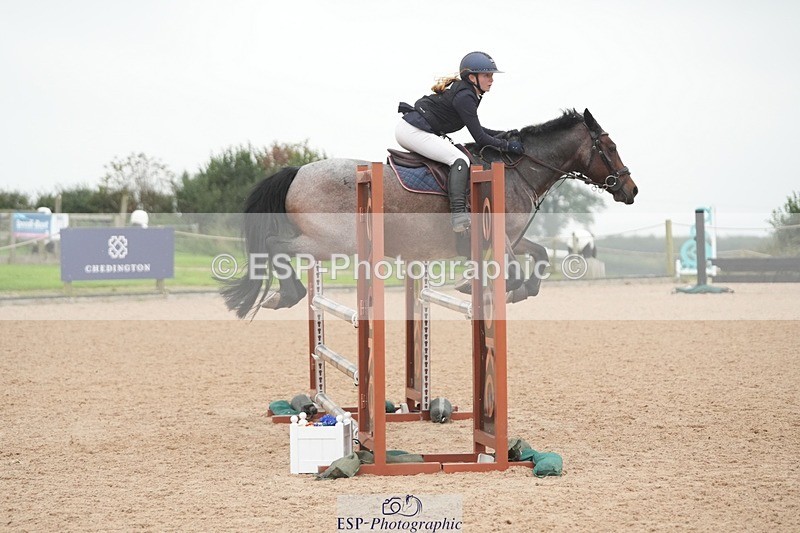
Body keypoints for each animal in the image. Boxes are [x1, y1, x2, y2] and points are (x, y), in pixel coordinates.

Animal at [222, 108, 637, 319]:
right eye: (610, 147)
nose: (631, 190)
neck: (517, 169)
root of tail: (296, 171)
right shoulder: (499, 236)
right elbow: (515, 270)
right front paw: (478, 287)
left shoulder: (513, 237)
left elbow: (540, 256)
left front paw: (505, 291)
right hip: (331, 242)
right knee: (274, 244)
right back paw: (287, 295)